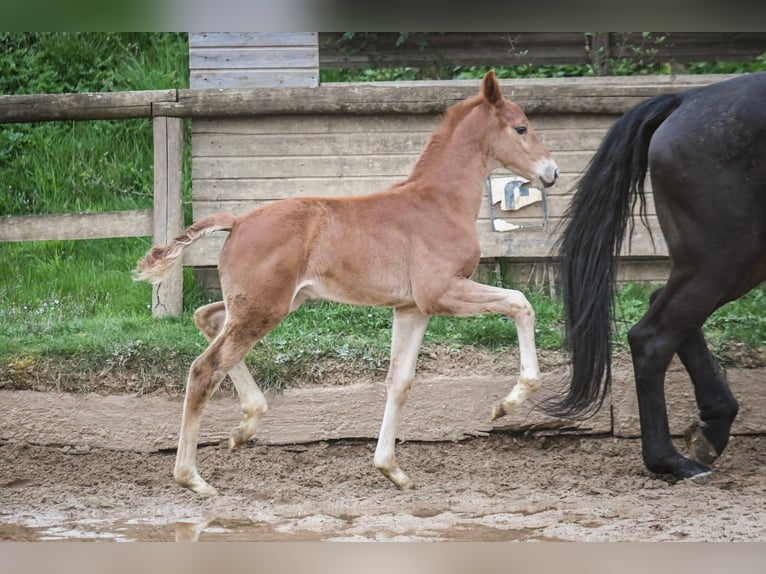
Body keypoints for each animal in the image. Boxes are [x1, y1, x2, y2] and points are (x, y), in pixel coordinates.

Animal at [552, 73, 766, 482]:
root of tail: (687, 99)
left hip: (736, 263)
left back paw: (710, 431)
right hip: (725, 258)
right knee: (653, 338)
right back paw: (671, 460)